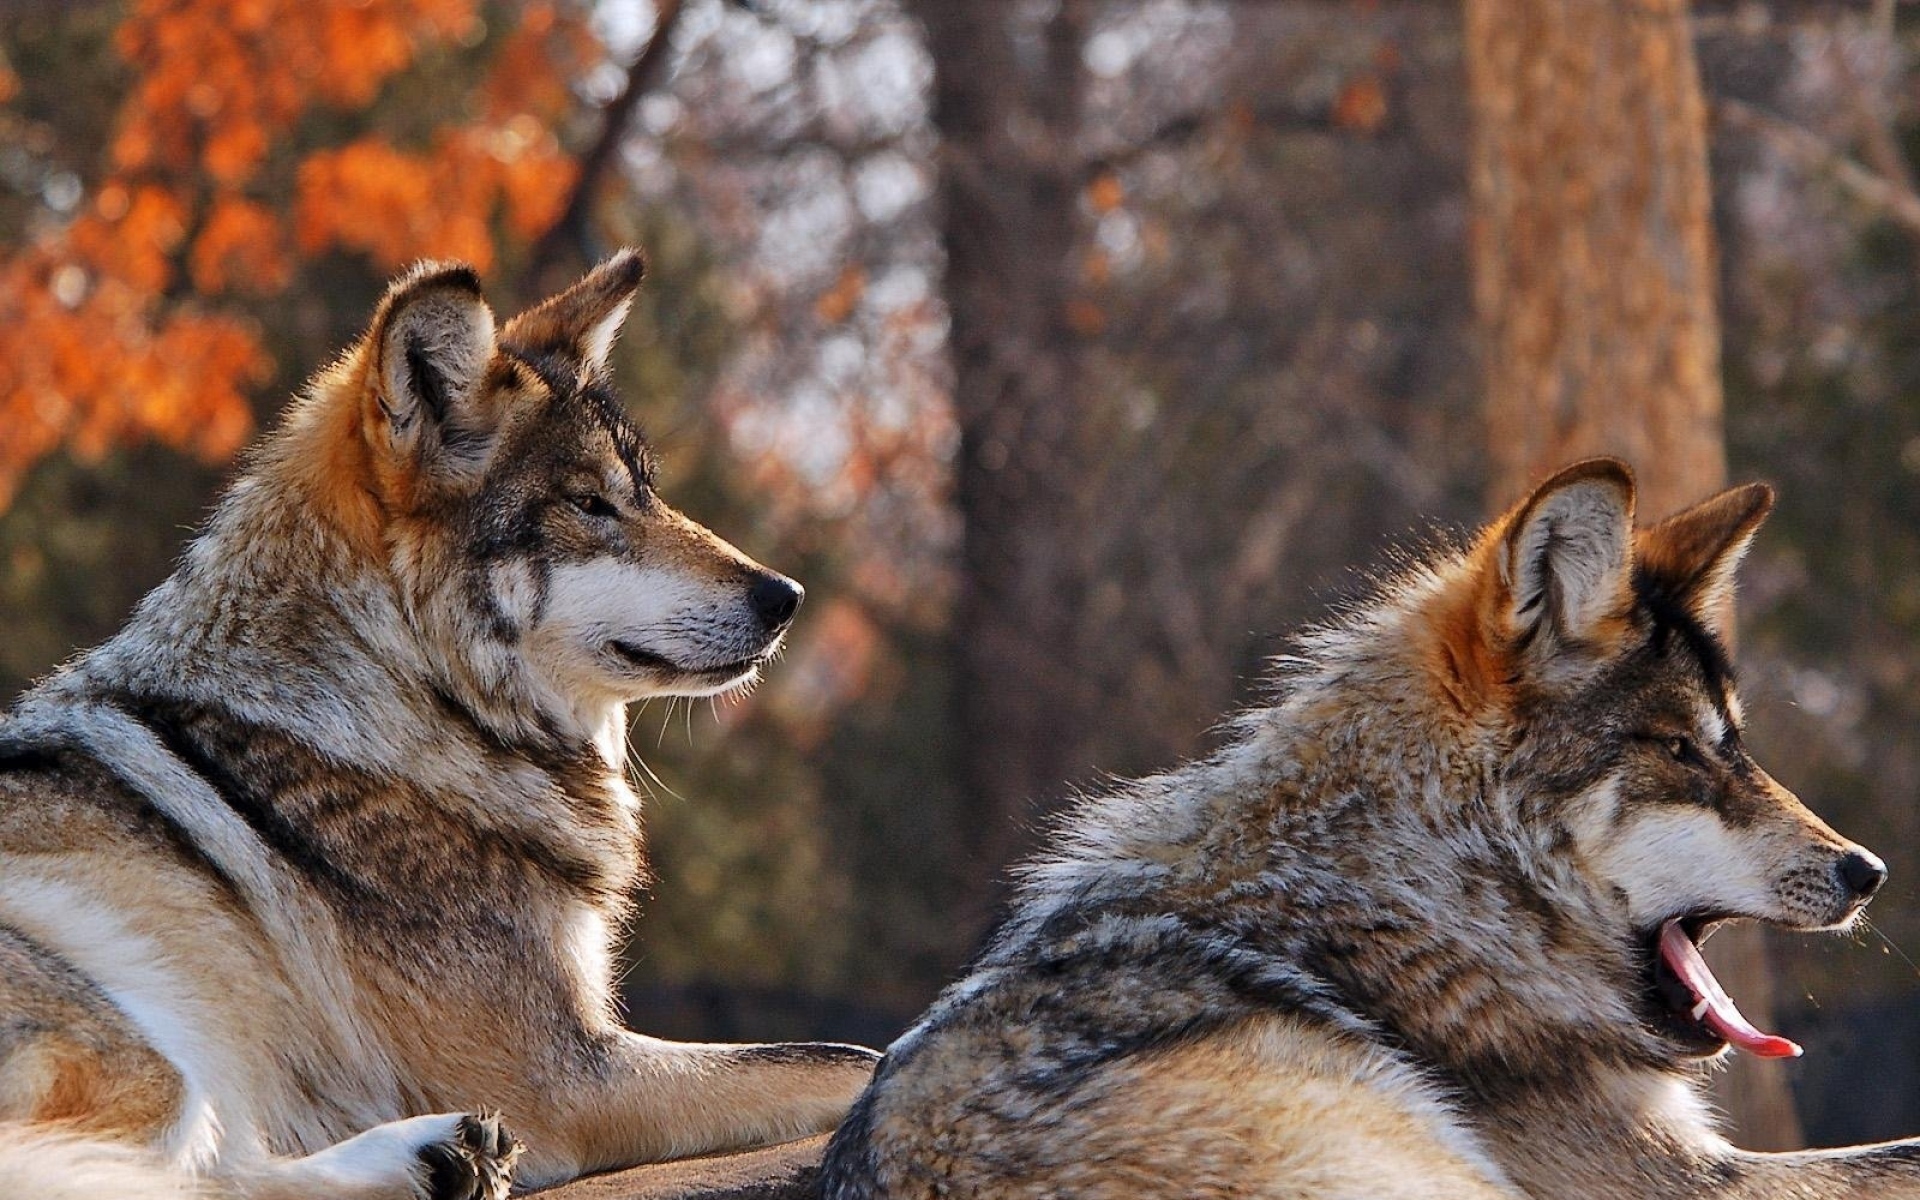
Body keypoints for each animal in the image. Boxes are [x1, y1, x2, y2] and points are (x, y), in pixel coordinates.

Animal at [0, 253, 879, 1198]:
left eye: (646, 494)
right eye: (590, 506)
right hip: (145, 1052)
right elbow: (847, 1059)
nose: (785, 597)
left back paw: (442, 1156)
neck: (412, 702)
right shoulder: (569, 1076)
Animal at [817, 460, 1920, 1198]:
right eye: (1685, 750)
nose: (1867, 871)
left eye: (1736, 743)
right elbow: (1894, 1154)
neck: (1415, 889)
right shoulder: (1683, 1177)